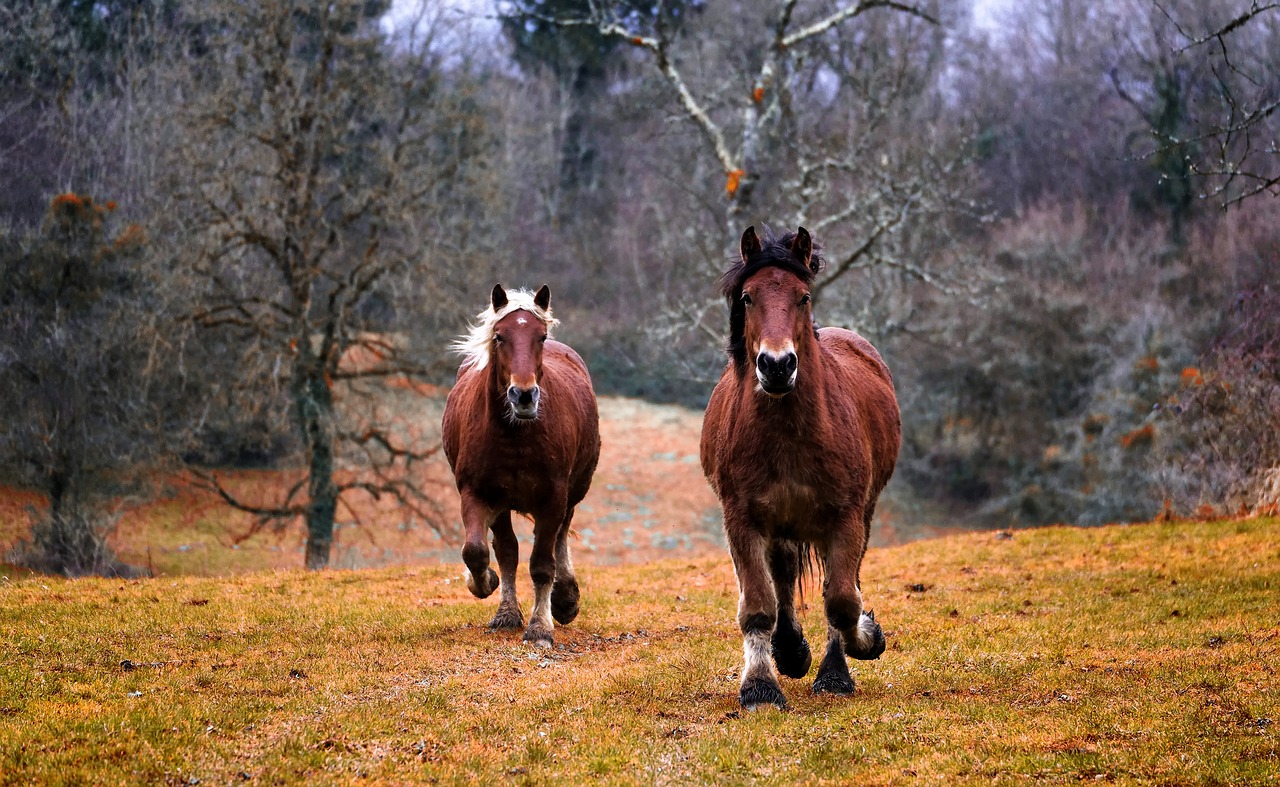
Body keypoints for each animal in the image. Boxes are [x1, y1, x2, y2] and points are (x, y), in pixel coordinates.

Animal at [442, 282, 601, 647]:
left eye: (540, 336)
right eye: (499, 336)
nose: (524, 396)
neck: (515, 436)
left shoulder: (553, 497)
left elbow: (542, 563)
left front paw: (541, 627)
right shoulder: (477, 493)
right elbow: (478, 551)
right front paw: (486, 585)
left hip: (572, 492)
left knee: (559, 539)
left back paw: (565, 599)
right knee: (507, 550)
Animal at [701, 225, 901, 711]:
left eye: (803, 296)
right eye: (748, 297)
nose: (777, 365)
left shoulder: (846, 518)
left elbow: (843, 600)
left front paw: (861, 646)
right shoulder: (742, 519)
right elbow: (759, 604)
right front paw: (760, 686)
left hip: (857, 516)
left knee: (837, 583)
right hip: (781, 525)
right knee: (784, 577)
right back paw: (789, 650)